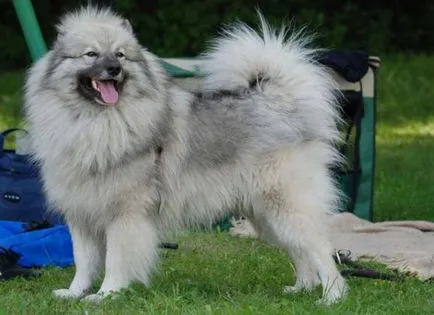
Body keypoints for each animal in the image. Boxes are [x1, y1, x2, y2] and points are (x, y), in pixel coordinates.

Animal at [23, 6, 350, 304]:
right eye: (91, 54)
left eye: (120, 55)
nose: (114, 69)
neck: (94, 122)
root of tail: (280, 102)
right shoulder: (82, 215)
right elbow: (84, 261)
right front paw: (74, 292)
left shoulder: (124, 216)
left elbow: (116, 260)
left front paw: (106, 294)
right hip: (266, 216)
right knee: (301, 253)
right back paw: (301, 289)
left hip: (286, 207)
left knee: (321, 251)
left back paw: (331, 298)